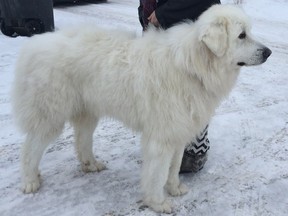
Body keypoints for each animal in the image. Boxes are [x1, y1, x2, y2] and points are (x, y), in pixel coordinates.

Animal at [12, 4, 272, 213]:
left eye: (248, 33)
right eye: (241, 35)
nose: (268, 52)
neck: (193, 66)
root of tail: (33, 44)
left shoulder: (178, 133)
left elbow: (174, 167)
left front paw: (174, 188)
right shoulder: (161, 138)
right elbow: (157, 174)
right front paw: (158, 202)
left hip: (88, 112)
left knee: (82, 141)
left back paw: (90, 165)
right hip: (49, 116)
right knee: (30, 149)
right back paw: (30, 181)